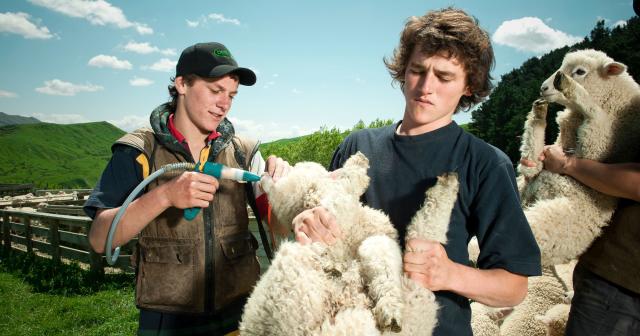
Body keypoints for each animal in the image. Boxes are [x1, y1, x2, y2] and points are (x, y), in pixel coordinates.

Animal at [516, 48, 640, 266]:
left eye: (580, 71)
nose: (543, 88)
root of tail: (529, 200)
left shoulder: (599, 148)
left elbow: (595, 119)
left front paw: (571, 87)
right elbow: (531, 165)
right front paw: (538, 112)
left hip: (559, 222)